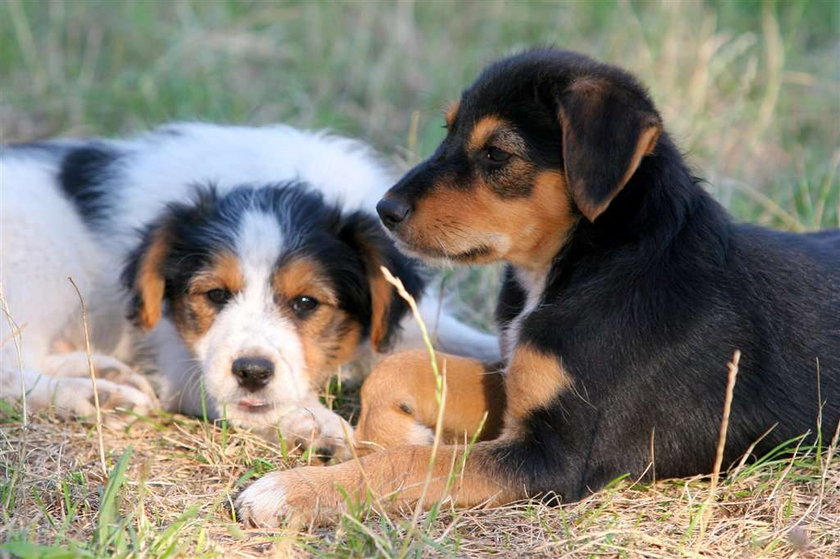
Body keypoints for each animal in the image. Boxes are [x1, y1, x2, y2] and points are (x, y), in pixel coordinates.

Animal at [1, 123, 498, 460]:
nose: (252, 373)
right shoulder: (183, 361)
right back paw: (95, 396)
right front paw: (318, 423)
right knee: (11, 367)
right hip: (37, 272)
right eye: (215, 295)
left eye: (306, 303)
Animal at [236, 49, 840, 528]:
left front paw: (291, 491)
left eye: (496, 153)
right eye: (448, 131)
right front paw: (392, 433)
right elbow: (399, 369)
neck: (582, 263)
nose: (385, 211)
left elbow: (412, 465)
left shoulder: (556, 458)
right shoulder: (518, 380)